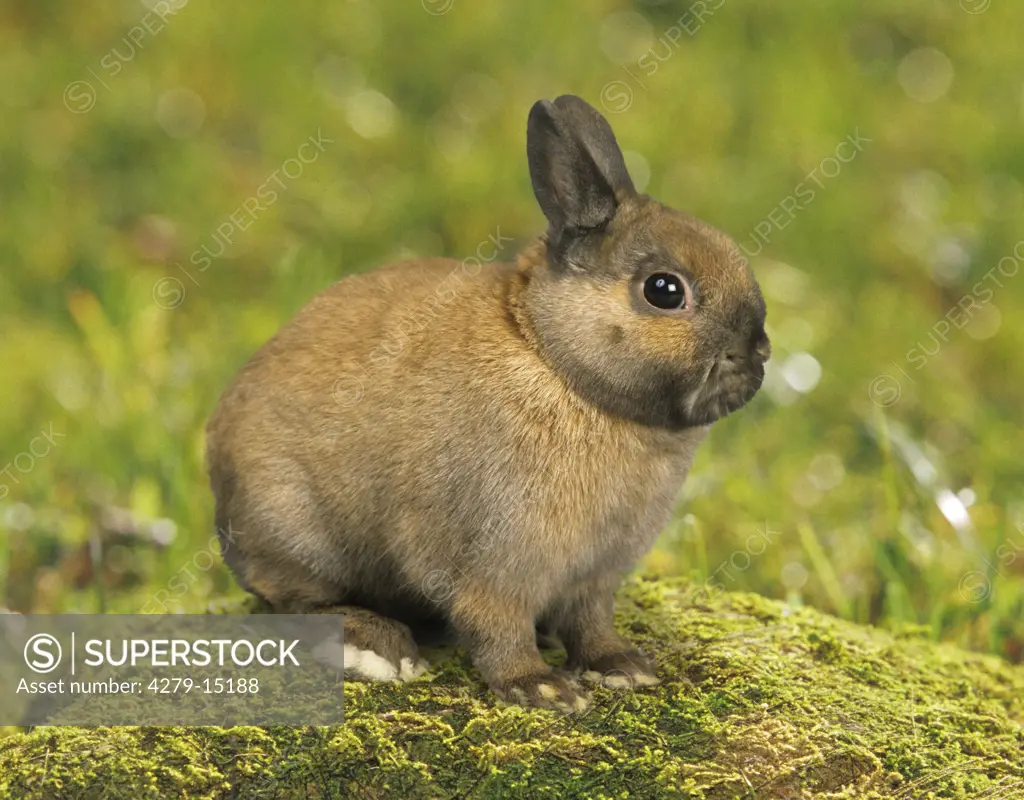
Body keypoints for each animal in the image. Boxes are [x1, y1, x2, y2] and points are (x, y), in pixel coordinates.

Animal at [205, 95, 770, 712]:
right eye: (664, 291)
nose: (759, 352)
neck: (555, 360)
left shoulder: (595, 576)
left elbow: (591, 623)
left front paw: (622, 668)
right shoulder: (492, 562)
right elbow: (496, 626)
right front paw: (542, 688)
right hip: (292, 526)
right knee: (295, 600)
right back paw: (382, 649)